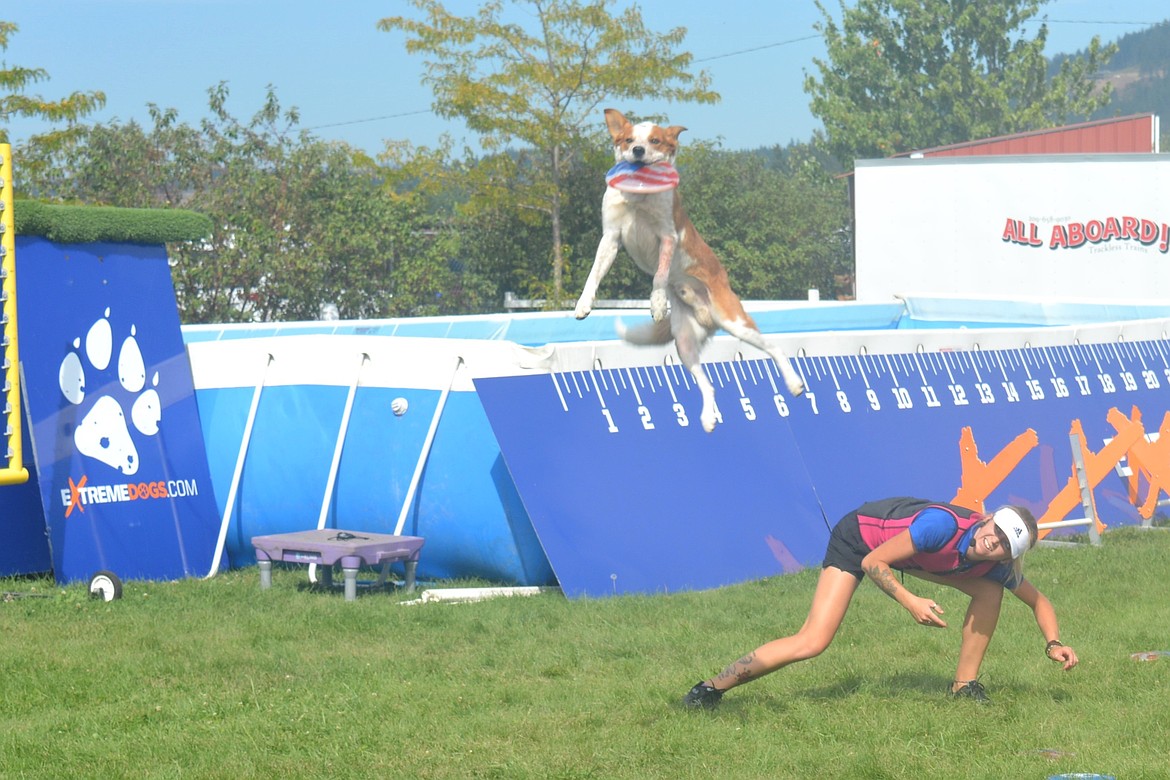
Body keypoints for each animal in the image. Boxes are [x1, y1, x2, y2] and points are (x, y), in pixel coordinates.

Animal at [573, 105, 804, 430]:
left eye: (655, 140)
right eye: (629, 139)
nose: (638, 150)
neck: (637, 198)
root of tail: (708, 316)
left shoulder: (667, 236)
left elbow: (659, 275)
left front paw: (657, 303)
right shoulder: (611, 238)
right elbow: (594, 274)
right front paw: (583, 304)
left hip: (735, 321)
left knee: (774, 348)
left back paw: (794, 383)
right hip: (684, 344)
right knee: (709, 385)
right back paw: (708, 417)